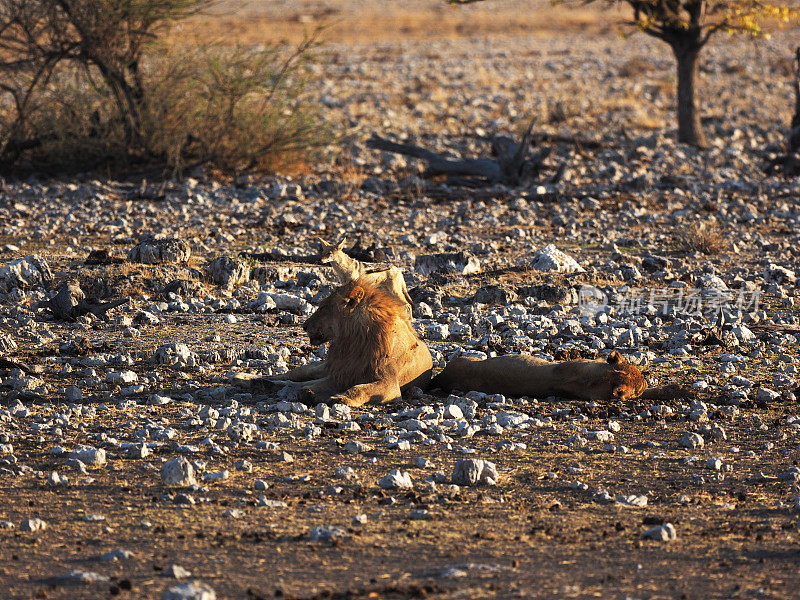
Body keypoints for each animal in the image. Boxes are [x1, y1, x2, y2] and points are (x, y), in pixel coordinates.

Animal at [242, 278, 434, 406]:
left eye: (323, 307)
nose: (304, 326)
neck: (353, 341)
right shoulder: (341, 374)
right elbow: (313, 383)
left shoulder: (389, 385)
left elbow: (360, 388)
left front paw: (341, 398)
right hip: (319, 367)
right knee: (290, 376)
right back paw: (251, 380)